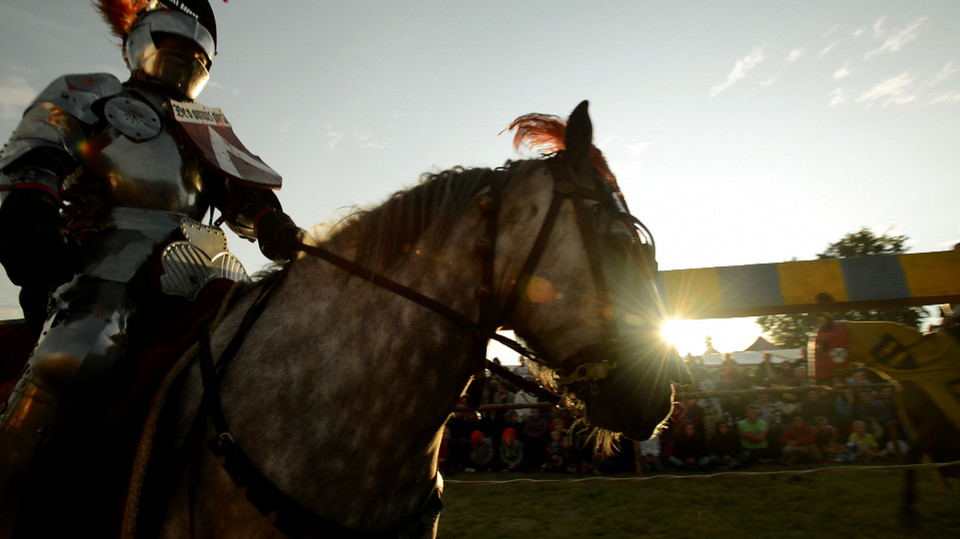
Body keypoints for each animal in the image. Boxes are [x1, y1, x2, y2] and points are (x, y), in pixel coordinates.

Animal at [812, 318, 960, 520]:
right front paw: (908, 510)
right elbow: (911, 460)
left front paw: (908, 511)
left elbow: (911, 457)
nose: (819, 383)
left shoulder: (935, 426)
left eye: (822, 345)